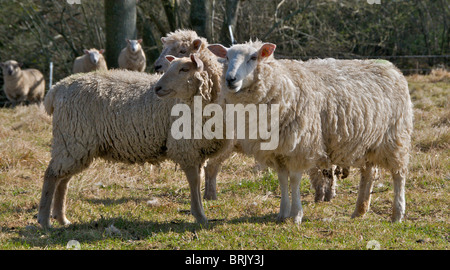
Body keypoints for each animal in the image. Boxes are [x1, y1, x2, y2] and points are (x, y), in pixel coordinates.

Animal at [37, 68, 230, 229]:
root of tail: (56, 89)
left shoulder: (198, 151)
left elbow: (198, 180)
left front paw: (200, 214)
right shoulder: (186, 147)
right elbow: (194, 181)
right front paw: (200, 216)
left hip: (74, 144)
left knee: (63, 180)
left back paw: (62, 219)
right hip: (74, 138)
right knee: (52, 175)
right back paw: (45, 220)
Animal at [209, 40, 414, 224]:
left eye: (253, 57)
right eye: (226, 57)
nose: (230, 79)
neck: (283, 85)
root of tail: (392, 68)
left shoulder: (299, 146)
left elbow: (294, 180)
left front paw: (296, 215)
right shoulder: (278, 151)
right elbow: (282, 180)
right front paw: (282, 213)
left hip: (395, 136)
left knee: (399, 174)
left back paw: (397, 214)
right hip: (368, 142)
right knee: (369, 173)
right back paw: (359, 211)